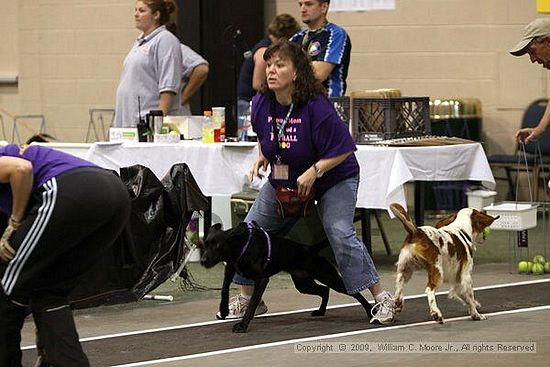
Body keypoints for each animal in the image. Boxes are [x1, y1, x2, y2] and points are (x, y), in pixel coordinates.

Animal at [198, 221, 376, 334]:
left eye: (217, 246)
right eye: (205, 244)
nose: (203, 261)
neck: (241, 245)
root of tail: (311, 248)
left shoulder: (261, 280)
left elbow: (252, 305)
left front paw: (242, 325)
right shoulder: (231, 268)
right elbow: (224, 289)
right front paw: (223, 309)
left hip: (329, 277)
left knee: (355, 292)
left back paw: (370, 311)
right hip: (303, 283)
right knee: (324, 290)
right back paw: (320, 311)